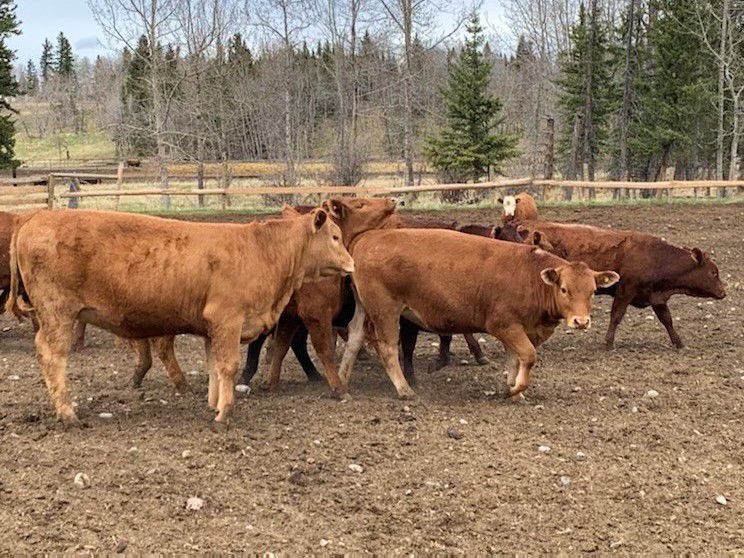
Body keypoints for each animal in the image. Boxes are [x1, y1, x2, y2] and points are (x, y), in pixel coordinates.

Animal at [5, 208, 354, 426]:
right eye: (335, 237)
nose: (351, 264)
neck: (261, 250)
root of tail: (36, 216)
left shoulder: (213, 328)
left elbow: (214, 366)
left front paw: (214, 403)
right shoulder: (227, 320)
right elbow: (228, 366)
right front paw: (224, 414)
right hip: (58, 314)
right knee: (52, 357)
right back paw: (68, 414)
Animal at [338, 228, 619, 399]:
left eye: (593, 291)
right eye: (563, 289)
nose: (581, 321)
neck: (529, 274)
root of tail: (367, 239)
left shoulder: (520, 330)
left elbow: (515, 359)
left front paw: (514, 389)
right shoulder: (504, 325)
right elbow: (527, 356)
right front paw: (514, 389)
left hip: (364, 307)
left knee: (354, 339)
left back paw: (341, 382)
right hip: (385, 310)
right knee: (386, 348)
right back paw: (404, 389)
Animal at [514, 220, 726, 348]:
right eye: (713, 272)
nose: (723, 293)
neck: (655, 257)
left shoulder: (656, 297)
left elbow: (667, 319)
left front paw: (679, 343)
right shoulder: (625, 290)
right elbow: (616, 316)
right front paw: (608, 343)